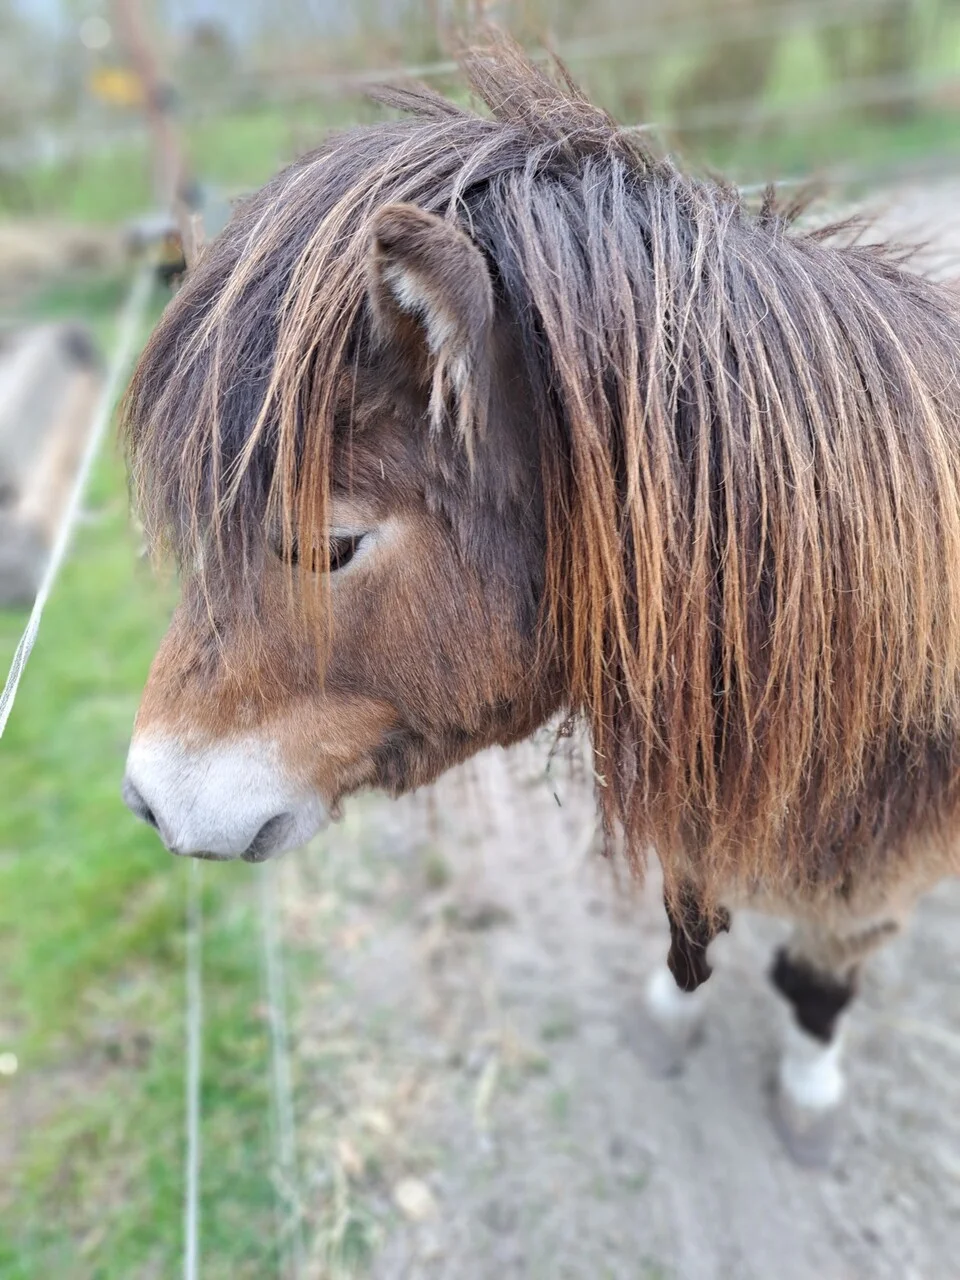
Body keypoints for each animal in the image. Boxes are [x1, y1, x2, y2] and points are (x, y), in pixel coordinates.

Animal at [120, 36, 960, 1163]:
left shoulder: (884, 862)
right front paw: (669, 1011)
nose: (150, 797)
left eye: (328, 545)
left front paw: (810, 1091)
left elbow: (820, 979)